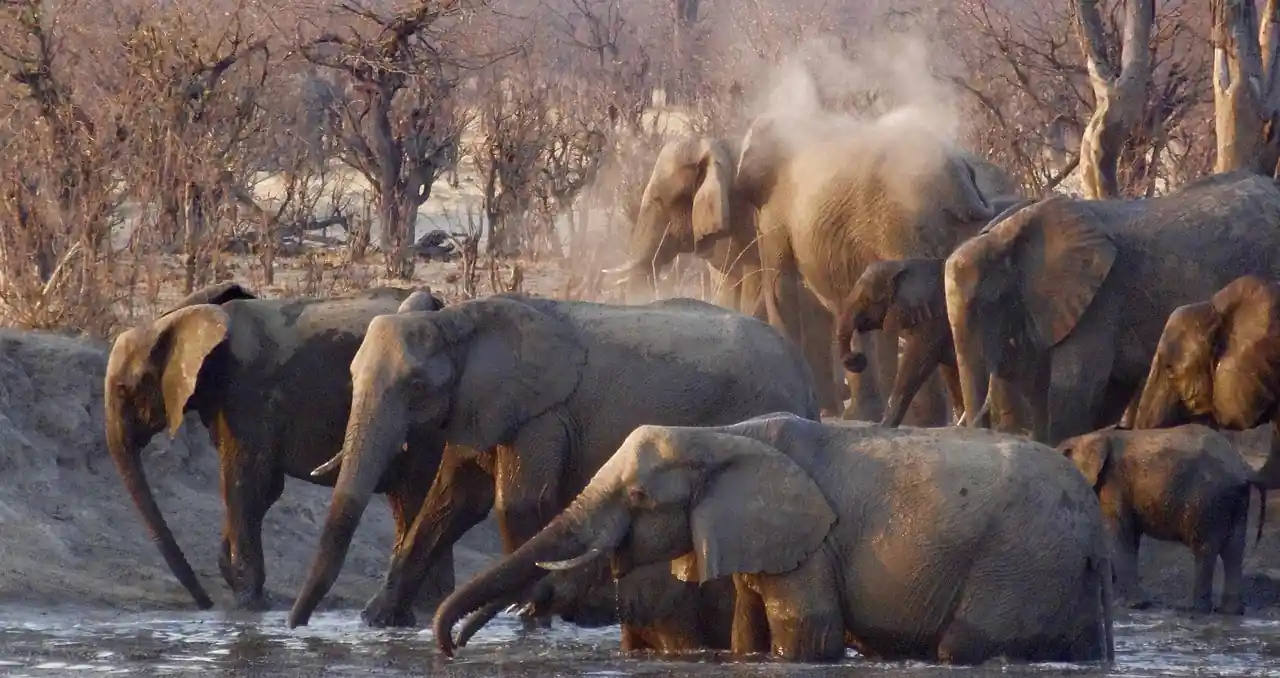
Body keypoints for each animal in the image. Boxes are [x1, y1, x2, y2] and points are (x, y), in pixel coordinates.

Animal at [105, 283, 452, 611]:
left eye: (123, 390)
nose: (206, 604)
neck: (177, 319)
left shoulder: (246, 396)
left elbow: (246, 485)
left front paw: (248, 605)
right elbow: (264, 490)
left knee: (415, 495)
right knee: (409, 501)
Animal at [286, 294, 820, 636]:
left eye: (416, 386)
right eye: (352, 373)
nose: (296, 624)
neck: (461, 318)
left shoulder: (542, 413)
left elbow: (517, 503)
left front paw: (528, 619)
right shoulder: (479, 404)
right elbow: (451, 503)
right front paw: (378, 622)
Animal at [435, 413, 1115, 664]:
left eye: (640, 498)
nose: (451, 648)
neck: (724, 437)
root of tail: (1094, 524)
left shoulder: (811, 542)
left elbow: (805, 632)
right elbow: (747, 631)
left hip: (1020, 560)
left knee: (964, 645)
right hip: (1057, 573)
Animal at [1058, 425, 1266, 614]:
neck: (1091, 436)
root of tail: (1243, 467)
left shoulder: (1114, 483)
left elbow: (1121, 534)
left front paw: (1131, 606)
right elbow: (1130, 538)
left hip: (1209, 497)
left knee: (1205, 548)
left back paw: (1191, 608)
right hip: (1234, 501)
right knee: (1234, 550)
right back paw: (1230, 611)